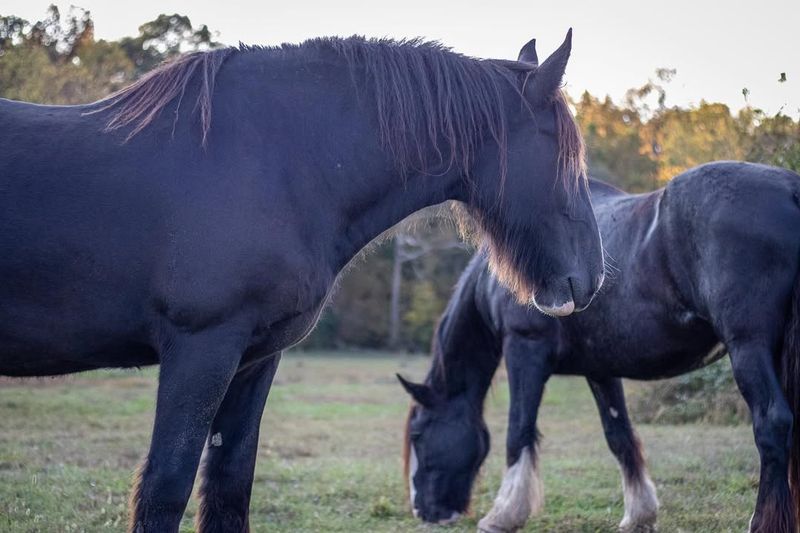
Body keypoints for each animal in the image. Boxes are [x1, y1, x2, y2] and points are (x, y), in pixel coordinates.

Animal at [0, 32, 604, 528]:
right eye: (564, 157)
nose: (593, 278)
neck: (276, 165)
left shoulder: (253, 358)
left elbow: (228, 488)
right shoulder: (199, 350)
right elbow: (165, 489)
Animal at [400, 160, 800, 528]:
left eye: (418, 434)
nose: (424, 511)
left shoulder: (524, 350)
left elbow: (519, 430)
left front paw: (504, 514)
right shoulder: (601, 371)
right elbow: (619, 436)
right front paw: (640, 515)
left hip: (748, 346)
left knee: (772, 424)